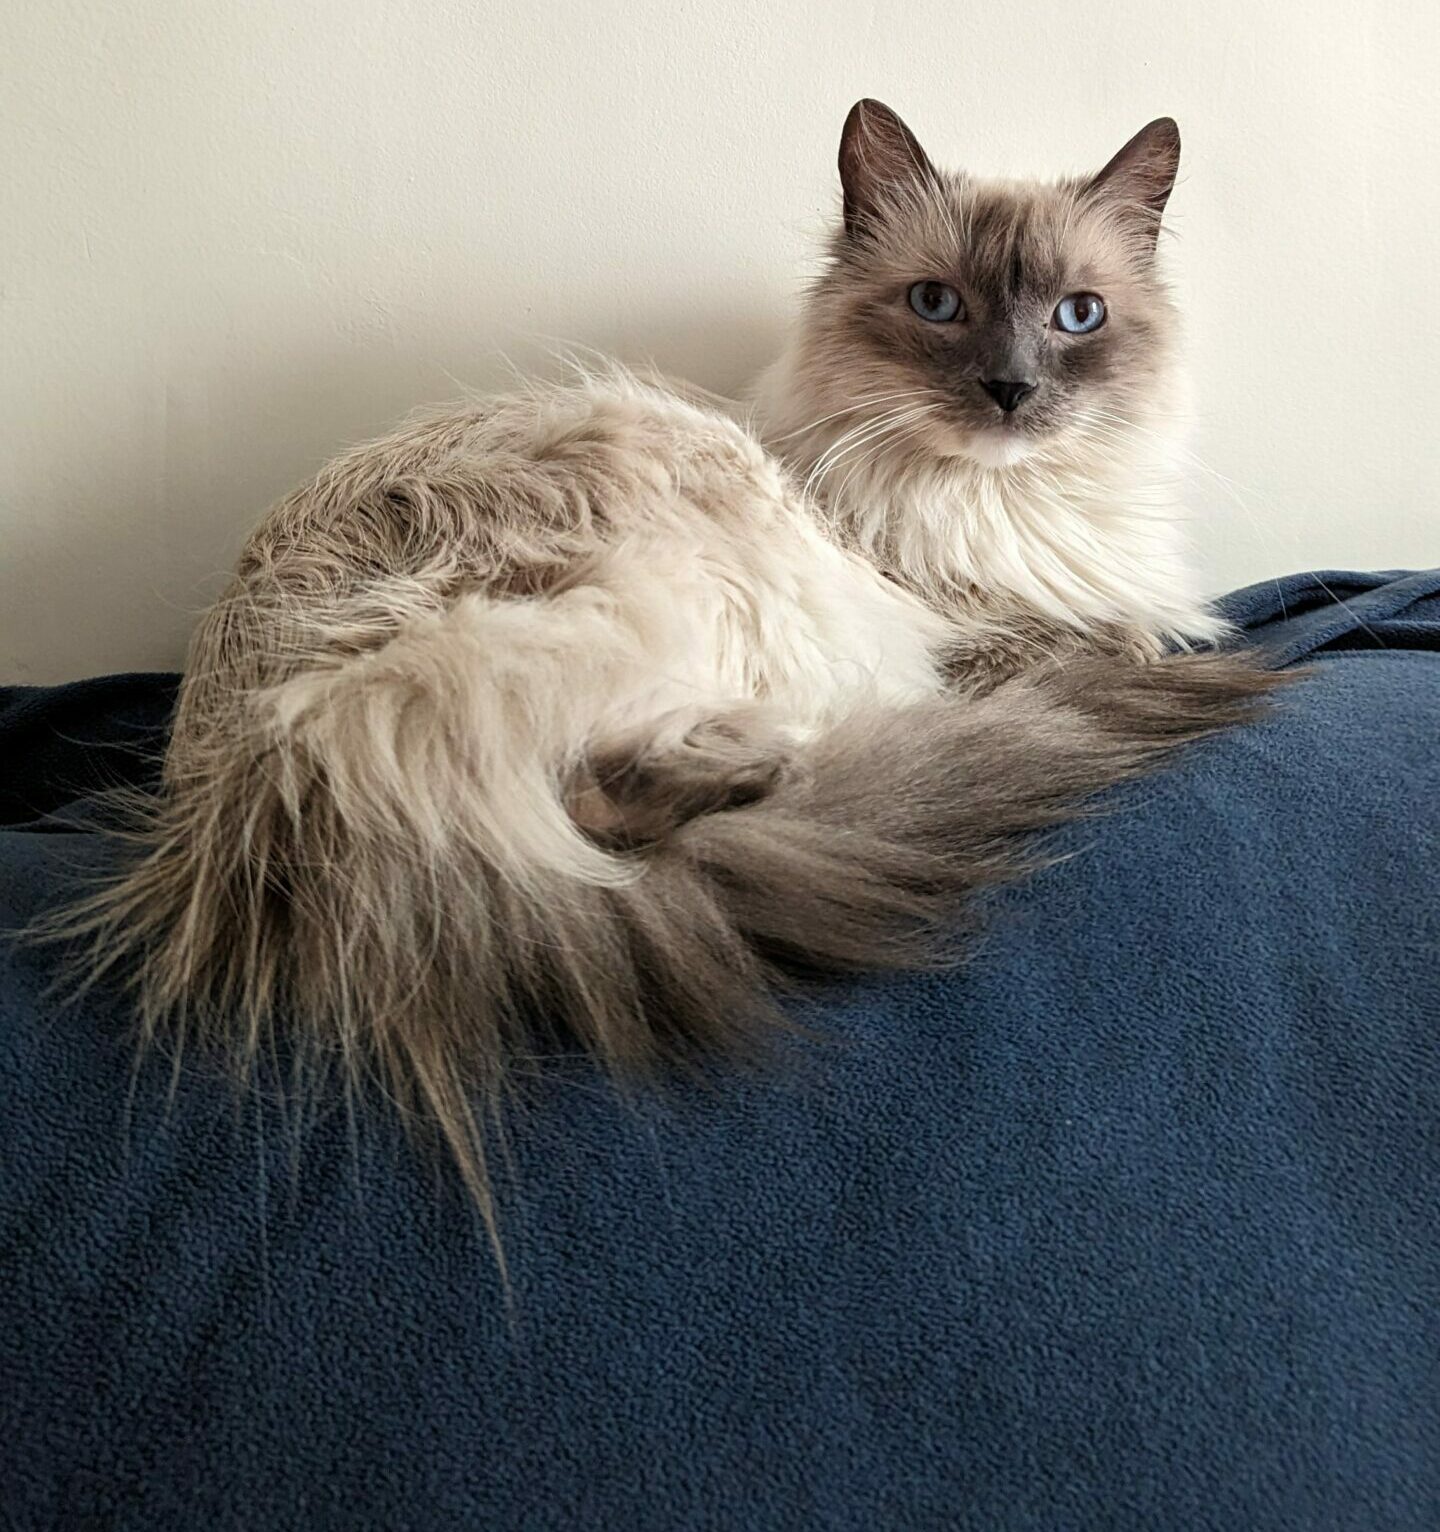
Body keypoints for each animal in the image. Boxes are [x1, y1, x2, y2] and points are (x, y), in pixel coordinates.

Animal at [50, 98, 1274, 1231]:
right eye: (939, 305)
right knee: (588, 799)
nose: (1011, 390)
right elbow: (1120, 635)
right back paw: (772, 769)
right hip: (671, 575)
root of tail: (249, 788)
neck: (999, 500)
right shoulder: (968, 637)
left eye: (1078, 317)